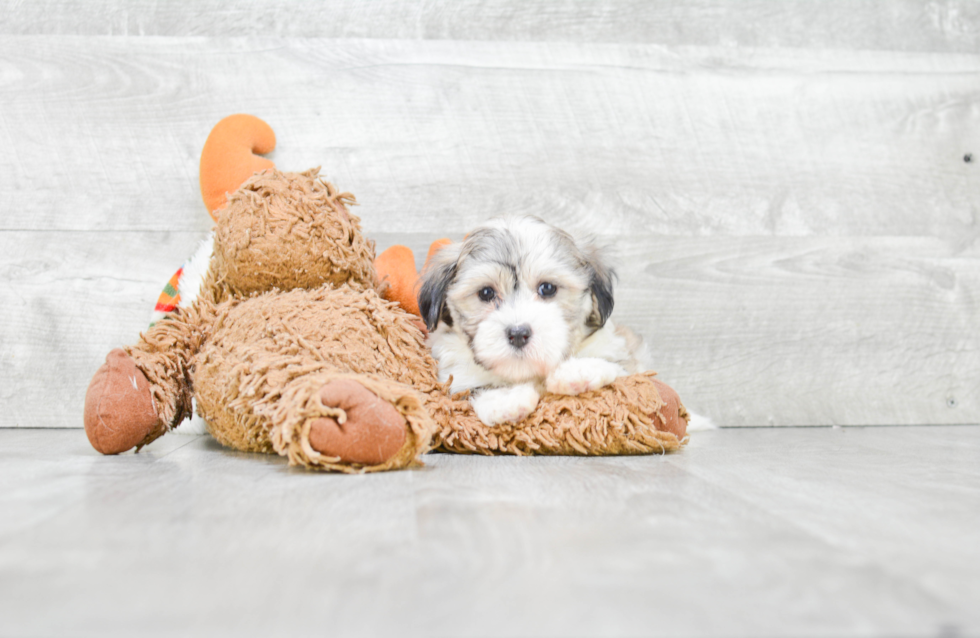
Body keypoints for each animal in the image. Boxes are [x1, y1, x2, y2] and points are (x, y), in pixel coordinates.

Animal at [418, 216, 648, 430]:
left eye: (547, 288)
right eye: (486, 293)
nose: (518, 334)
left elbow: (620, 370)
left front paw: (578, 370)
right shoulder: (454, 376)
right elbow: (471, 388)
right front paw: (505, 399)